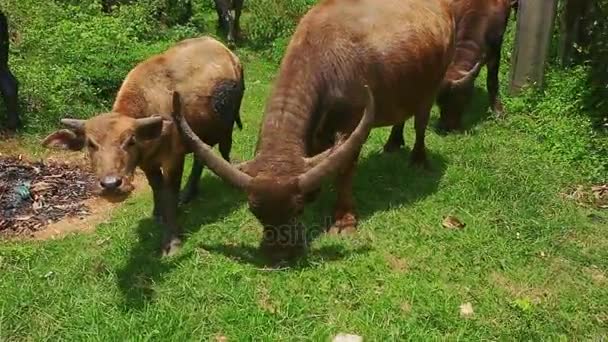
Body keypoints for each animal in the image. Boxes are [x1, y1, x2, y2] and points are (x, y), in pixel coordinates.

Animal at [40, 37, 246, 256]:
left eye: (130, 141)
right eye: (91, 144)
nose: (111, 184)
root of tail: (227, 52)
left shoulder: (173, 159)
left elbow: (170, 193)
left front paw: (172, 240)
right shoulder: (147, 162)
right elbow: (156, 188)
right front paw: (158, 213)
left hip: (227, 126)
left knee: (221, 151)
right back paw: (189, 193)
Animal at [171, 0, 476, 258]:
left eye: (296, 210)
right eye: (255, 212)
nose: (279, 253)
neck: (325, 58)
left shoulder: (352, 125)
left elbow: (344, 169)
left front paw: (343, 219)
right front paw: (315, 191)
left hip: (430, 86)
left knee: (421, 122)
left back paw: (418, 159)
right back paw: (392, 143)